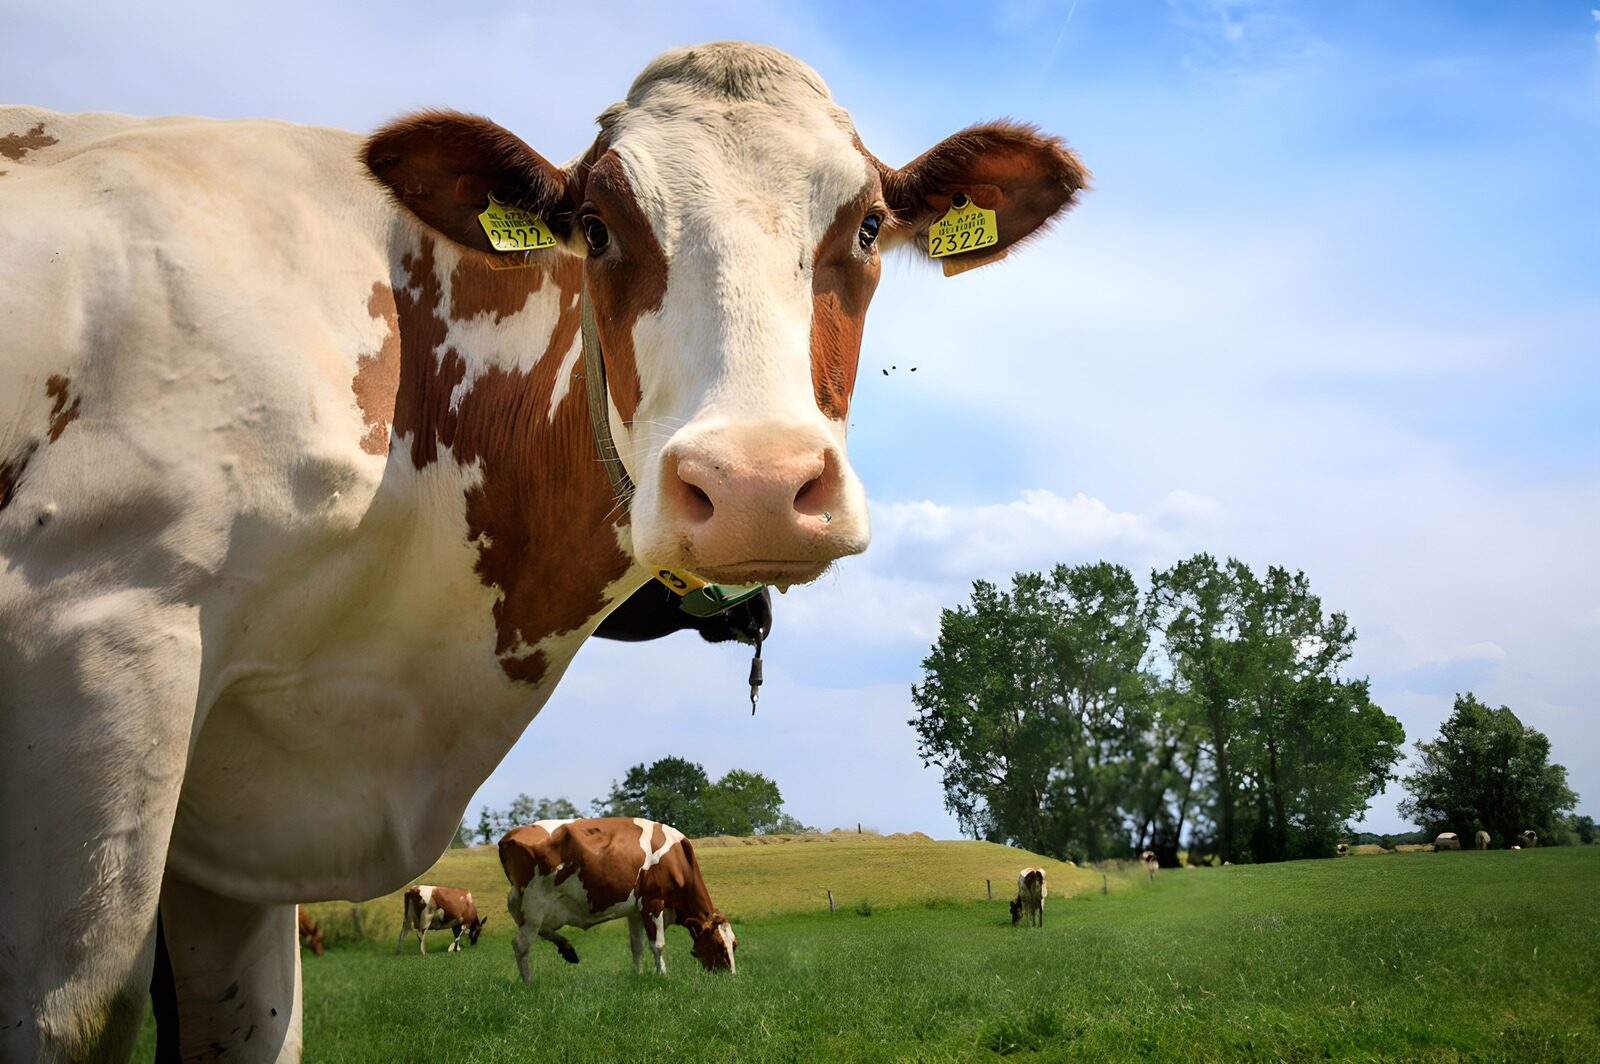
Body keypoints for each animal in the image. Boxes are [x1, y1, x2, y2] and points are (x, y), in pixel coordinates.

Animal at [499, 818, 734, 980]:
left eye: (735, 944)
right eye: (720, 946)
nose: (731, 976)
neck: (677, 859)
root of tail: (510, 835)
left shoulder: (635, 911)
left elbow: (636, 945)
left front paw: (638, 974)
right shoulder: (653, 902)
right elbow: (657, 944)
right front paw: (663, 975)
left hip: (527, 904)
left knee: (541, 931)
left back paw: (568, 950)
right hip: (534, 904)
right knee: (521, 944)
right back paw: (529, 982)